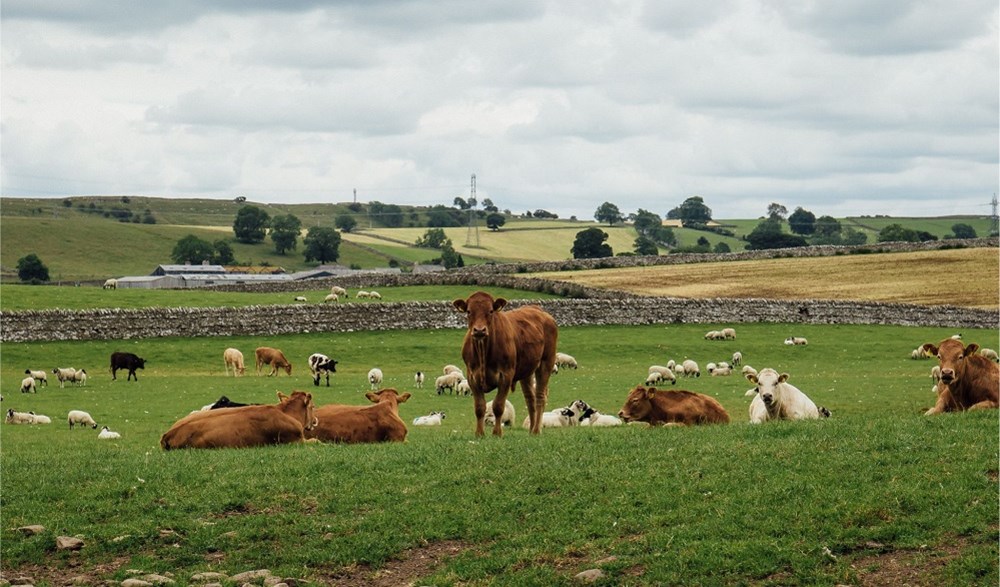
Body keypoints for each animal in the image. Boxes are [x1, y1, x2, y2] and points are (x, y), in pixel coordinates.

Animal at [160, 391, 317, 450]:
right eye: (312, 406)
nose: (315, 421)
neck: (285, 412)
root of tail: (168, 434)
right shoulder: (295, 441)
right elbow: (317, 441)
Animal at [453, 291, 558, 437]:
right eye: (469, 311)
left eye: (491, 311)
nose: (479, 330)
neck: (483, 353)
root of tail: (538, 309)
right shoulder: (472, 377)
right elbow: (479, 407)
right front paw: (479, 433)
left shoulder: (506, 375)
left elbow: (498, 406)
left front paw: (497, 433)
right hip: (527, 371)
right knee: (530, 398)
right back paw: (531, 430)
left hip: (546, 363)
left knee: (540, 396)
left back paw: (536, 430)